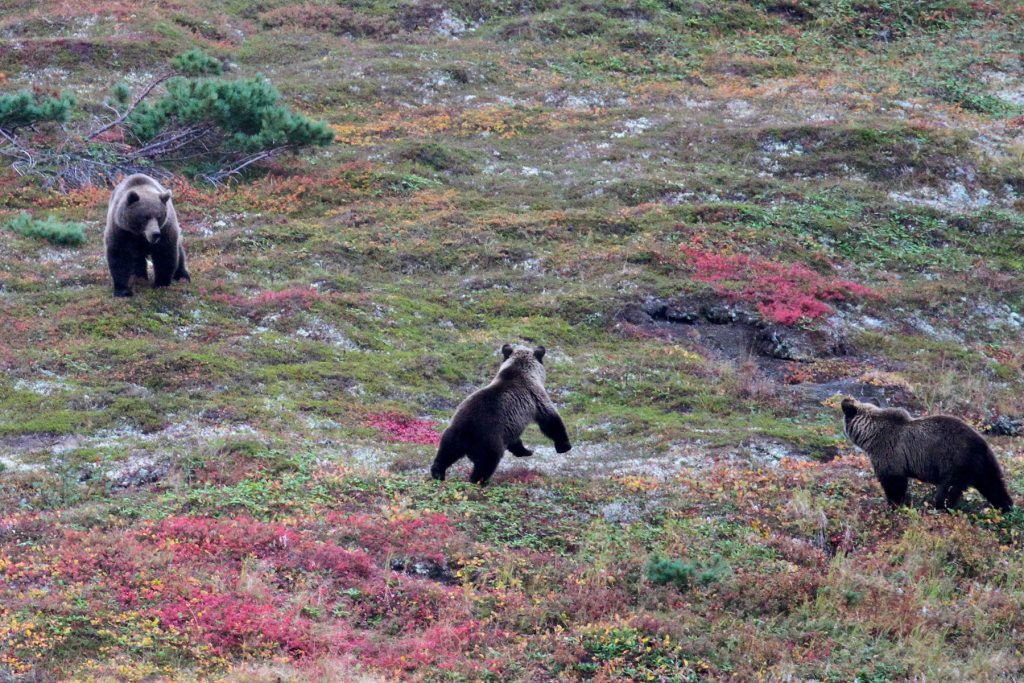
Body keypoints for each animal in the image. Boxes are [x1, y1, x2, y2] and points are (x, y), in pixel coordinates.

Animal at [431, 344, 572, 485]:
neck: (520, 371)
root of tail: (467, 431)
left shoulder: (512, 425)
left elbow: (515, 441)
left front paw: (526, 451)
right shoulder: (535, 397)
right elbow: (551, 421)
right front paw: (564, 446)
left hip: (453, 434)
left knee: (445, 454)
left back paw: (438, 474)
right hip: (489, 440)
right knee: (486, 463)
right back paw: (478, 481)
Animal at [841, 397, 1013, 511]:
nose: (845, 400)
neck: (871, 435)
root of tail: (982, 444)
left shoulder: (889, 452)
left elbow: (894, 482)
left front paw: (894, 504)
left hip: (956, 463)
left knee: (947, 491)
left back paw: (938, 508)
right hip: (983, 465)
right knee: (993, 485)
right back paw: (1007, 507)